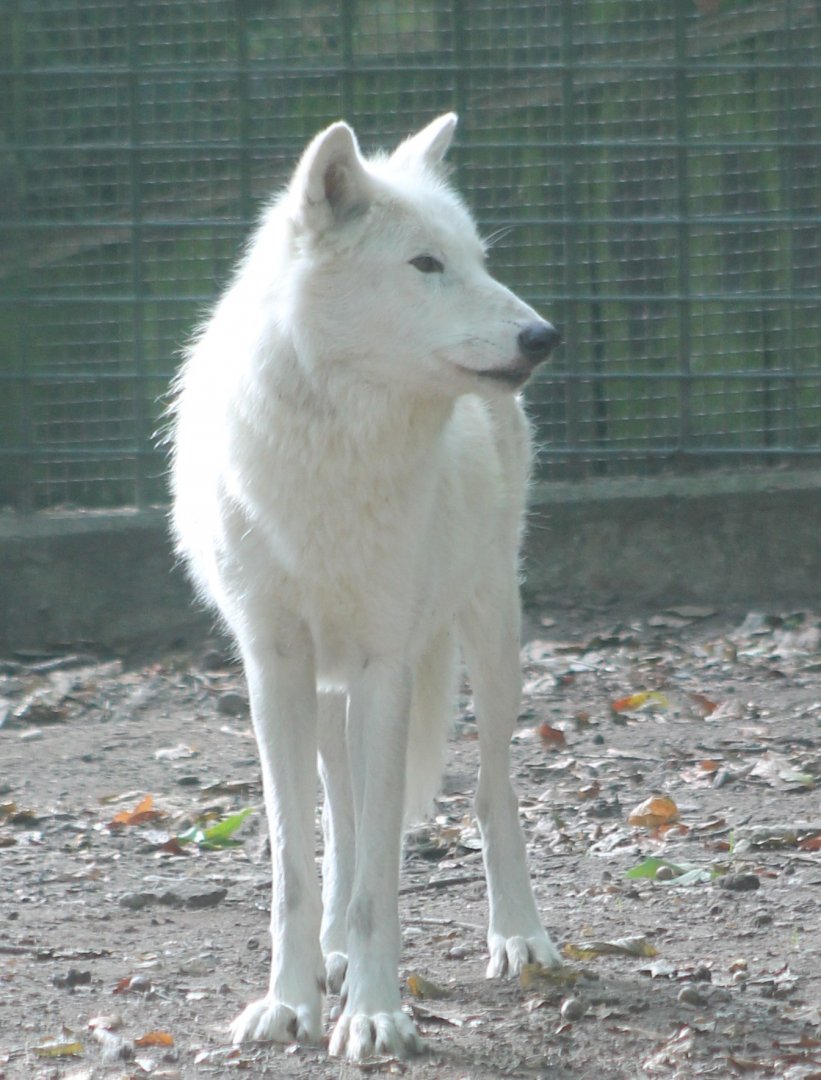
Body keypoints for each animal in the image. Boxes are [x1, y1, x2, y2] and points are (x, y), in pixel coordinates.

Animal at [170, 113, 562, 1061]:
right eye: (425, 264)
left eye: (477, 259)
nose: (543, 336)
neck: (339, 449)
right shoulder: (273, 668)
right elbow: (297, 866)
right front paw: (290, 1003)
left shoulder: (388, 664)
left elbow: (382, 875)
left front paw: (376, 1014)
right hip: (326, 688)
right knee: (339, 822)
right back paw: (331, 961)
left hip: (489, 634)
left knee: (491, 792)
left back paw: (518, 935)